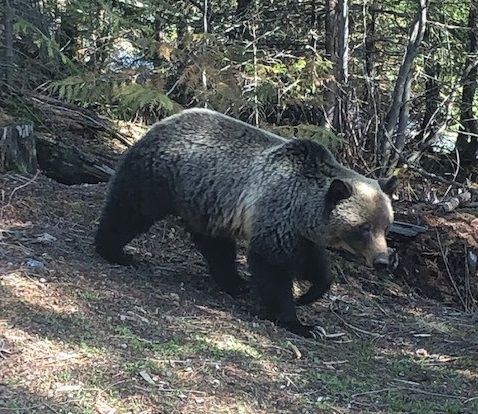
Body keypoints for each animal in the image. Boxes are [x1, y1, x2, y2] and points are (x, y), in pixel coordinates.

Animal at [95, 108, 398, 338]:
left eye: (386, 227)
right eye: (364, 228)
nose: (381, 260)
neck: (304, 206)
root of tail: (163, 122)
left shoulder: (299, 229)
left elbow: (314, 263)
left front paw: (311, 293)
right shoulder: (278, 213)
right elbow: (272, 266)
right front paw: (300, 323)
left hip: (206, 201)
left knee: (215, 244)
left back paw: (233, 281)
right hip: (162, 177)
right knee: (130, 210)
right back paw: (115, 251)